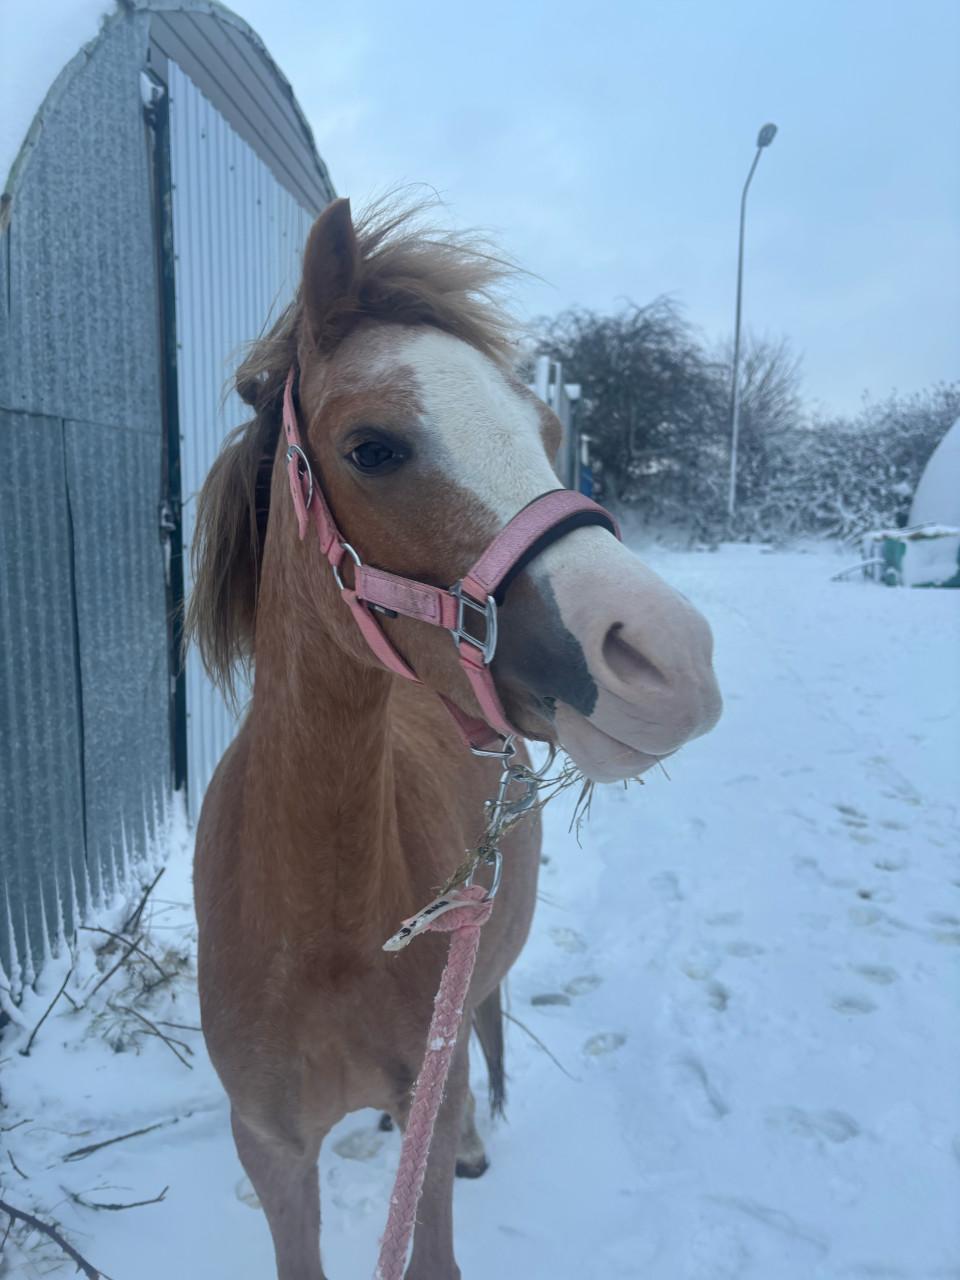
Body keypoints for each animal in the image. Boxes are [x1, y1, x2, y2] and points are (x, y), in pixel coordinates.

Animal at [187, 196, 721, 1280]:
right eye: (373, 447)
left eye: (548, 432)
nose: (671, 659)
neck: (320, 926)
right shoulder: (270, 1149)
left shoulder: (420, 1133)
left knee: (479, 1029)